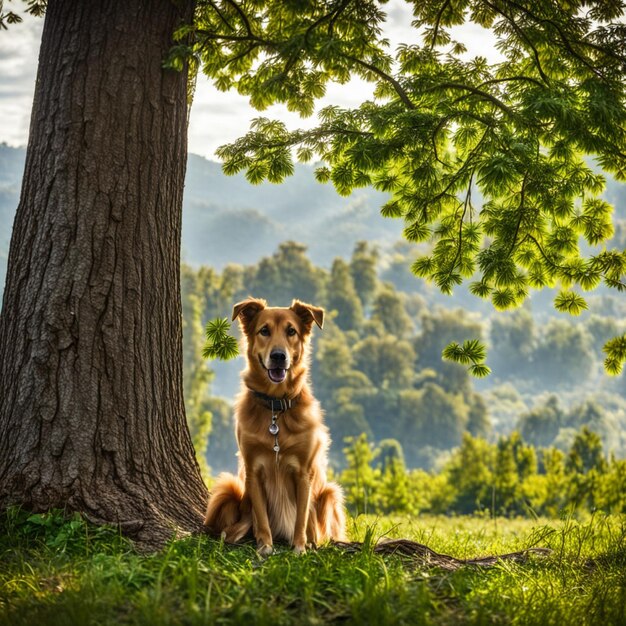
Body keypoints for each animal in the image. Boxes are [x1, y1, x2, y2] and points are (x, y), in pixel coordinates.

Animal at [202, 296, 344, 552]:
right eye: (264, 331)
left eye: (291, 331)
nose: (279, 356)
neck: (276, 409)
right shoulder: (253, 470)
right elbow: (261, 515)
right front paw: (265, 547)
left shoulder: (304, 472)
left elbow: (301, 517)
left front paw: (299, 548)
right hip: (229, 489)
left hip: (330, 492)